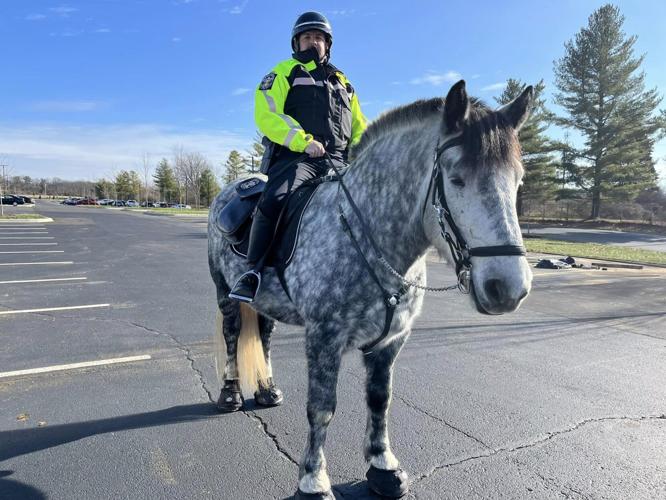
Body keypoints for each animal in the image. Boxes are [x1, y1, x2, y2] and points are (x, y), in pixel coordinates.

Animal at [207, 80, 534, 499]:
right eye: (457, 178)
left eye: (518, 180)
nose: (508, 287)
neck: (366, 232)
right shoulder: (324, 338)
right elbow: (321, 408)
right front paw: (312, 481)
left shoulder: (391, 340)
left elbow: (380, 400)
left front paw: (382, 466)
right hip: (225, 294)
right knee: (233, 334)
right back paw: (230, 394)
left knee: (263, 333)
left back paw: (267, 390)